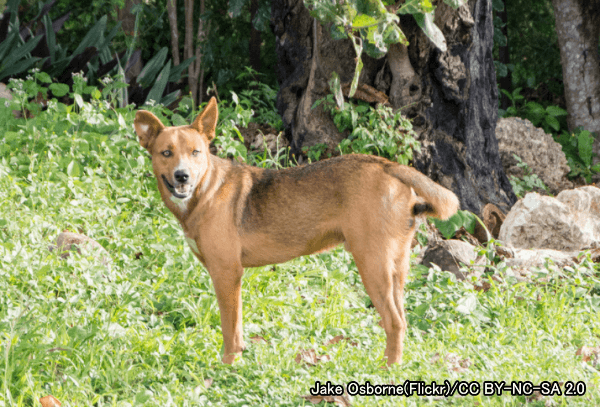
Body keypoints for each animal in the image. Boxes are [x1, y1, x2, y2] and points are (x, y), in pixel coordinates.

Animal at [134, 98, 458, 366]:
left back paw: (386, 369)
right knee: (402, 320)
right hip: (396, 270)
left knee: (394, 322)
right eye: (166, 153)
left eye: (196, 153)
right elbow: (238, 330)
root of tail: (388, 165)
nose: (182, 176)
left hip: (372, 264)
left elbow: (229, 329)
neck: (205, 190)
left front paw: (227, 367)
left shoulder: (227, 273)